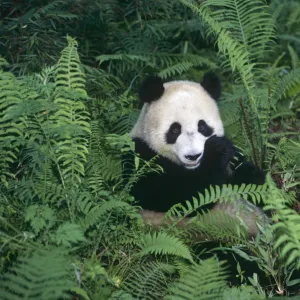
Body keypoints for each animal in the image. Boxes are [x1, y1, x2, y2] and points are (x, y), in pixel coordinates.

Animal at [127, 72, 266, 239]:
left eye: (202, 126)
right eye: (175, 130)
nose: (193, 156)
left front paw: (255, 176)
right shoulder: (140, 158)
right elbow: (184, 198)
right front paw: (216, 152)